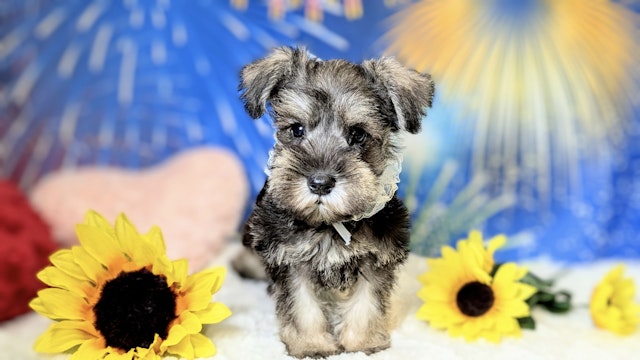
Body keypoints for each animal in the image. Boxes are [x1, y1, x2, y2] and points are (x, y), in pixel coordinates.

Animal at [236, 45, 436, 358]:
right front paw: (311, 344)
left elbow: (366, 304)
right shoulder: (289, 259)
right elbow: (303, 307)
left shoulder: (376, 258)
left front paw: (362, 343)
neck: (329, 223)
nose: (320, 183)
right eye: (297, 129)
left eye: (358, 134)